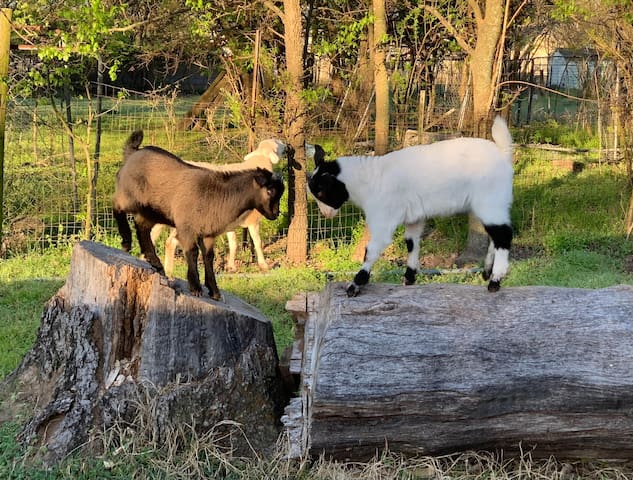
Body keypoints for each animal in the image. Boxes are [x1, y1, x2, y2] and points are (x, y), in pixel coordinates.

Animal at [111, 131, 284, 300]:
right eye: (269, 191)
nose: (275, 214)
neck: (221, 196)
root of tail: (133, 153)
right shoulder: (187, 228)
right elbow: (193, 252)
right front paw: (195, 287)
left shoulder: (208, 233)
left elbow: (208, 256)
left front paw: (214, 290)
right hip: (130, 196)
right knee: (117, 205)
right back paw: (126, 241)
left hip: (151, 211)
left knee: (142, 228)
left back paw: (155, 262)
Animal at [308, 116, 512, 296]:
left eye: (321, 192)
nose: (325, 214)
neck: (369, 179)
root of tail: (503, 153)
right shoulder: (414, 218)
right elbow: (411, 243)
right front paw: (409, 279)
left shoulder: (383, 217)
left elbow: (371, 250)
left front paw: (355, 285)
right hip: (492, 204)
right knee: (495, 236)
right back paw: (487, 272)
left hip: (490, 200)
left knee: (503, 235)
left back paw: (495, 281)